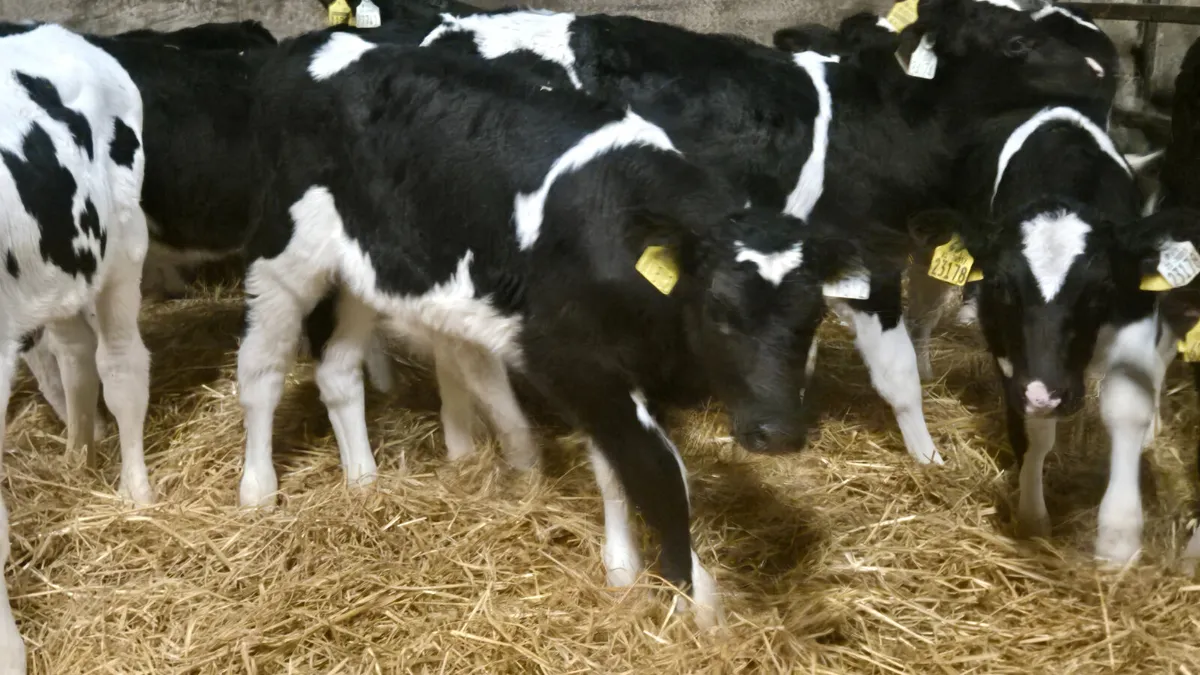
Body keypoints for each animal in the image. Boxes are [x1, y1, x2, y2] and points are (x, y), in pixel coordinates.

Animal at [238, 31, 904, 627]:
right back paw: (257, 490)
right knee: (262, 372)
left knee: (337, 370)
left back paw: (364, 481)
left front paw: (623, 571)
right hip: (281, 256)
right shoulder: (574, 359)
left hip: (365, 268)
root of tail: (314, 44)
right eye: (719, 309)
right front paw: (697, 609)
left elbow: (616, 469)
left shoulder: (623, 366)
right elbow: (658, 474)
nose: (778, 432)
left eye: (812, 314)